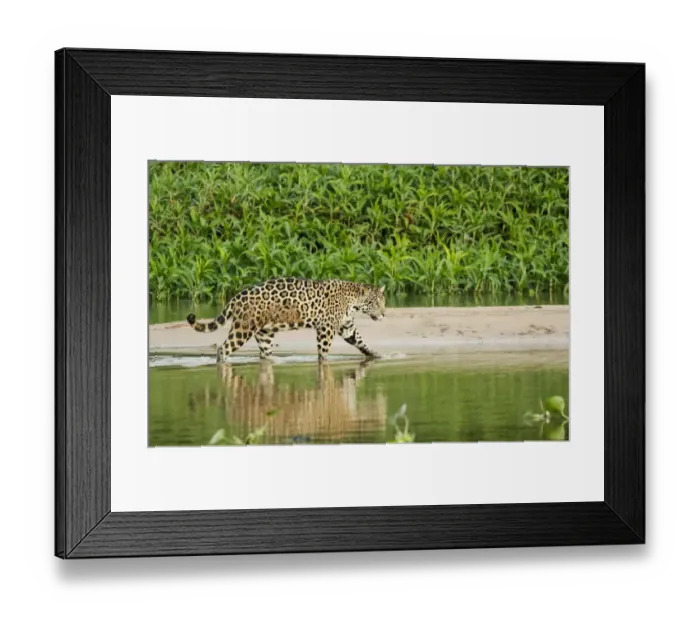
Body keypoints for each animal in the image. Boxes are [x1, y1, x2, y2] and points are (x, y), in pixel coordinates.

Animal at [186, 277, 386, 362]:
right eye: (375, 303)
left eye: (383, 301)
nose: (384, 314)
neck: (353, 301)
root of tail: (236, 297)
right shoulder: (326, 328)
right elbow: (323, 352)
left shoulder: (346, 326)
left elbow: (361, 342)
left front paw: (377, 355)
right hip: (242, 329)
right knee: (223, 349)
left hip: (264, 333)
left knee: (265, 354)